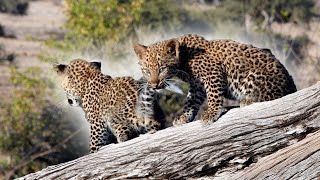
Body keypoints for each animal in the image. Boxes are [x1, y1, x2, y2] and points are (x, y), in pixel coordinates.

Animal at [132, 33, 296, 125]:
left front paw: (210, 114)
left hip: (252, 76)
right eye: (147, 71)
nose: (154, 85)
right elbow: (191, 101)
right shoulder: (196, 85)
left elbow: (214, 96)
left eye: (162, 69)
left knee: (276, 96)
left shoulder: (213, 73)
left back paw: (247, 100)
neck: (183, 58)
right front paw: (184, 117)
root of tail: (292, 85)